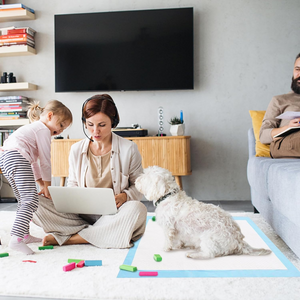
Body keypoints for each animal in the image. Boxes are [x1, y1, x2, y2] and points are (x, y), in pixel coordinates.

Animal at [136, 165, 272, 258]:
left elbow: (168, 240)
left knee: (210, 254)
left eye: (145, 176)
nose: (136, 180)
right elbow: (178, 239)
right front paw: (179, 245)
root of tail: (239, 242)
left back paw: (193, 254)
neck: (168, 196)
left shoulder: (168, 227)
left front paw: (166, 248)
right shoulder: (177, 230)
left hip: (209, 238)